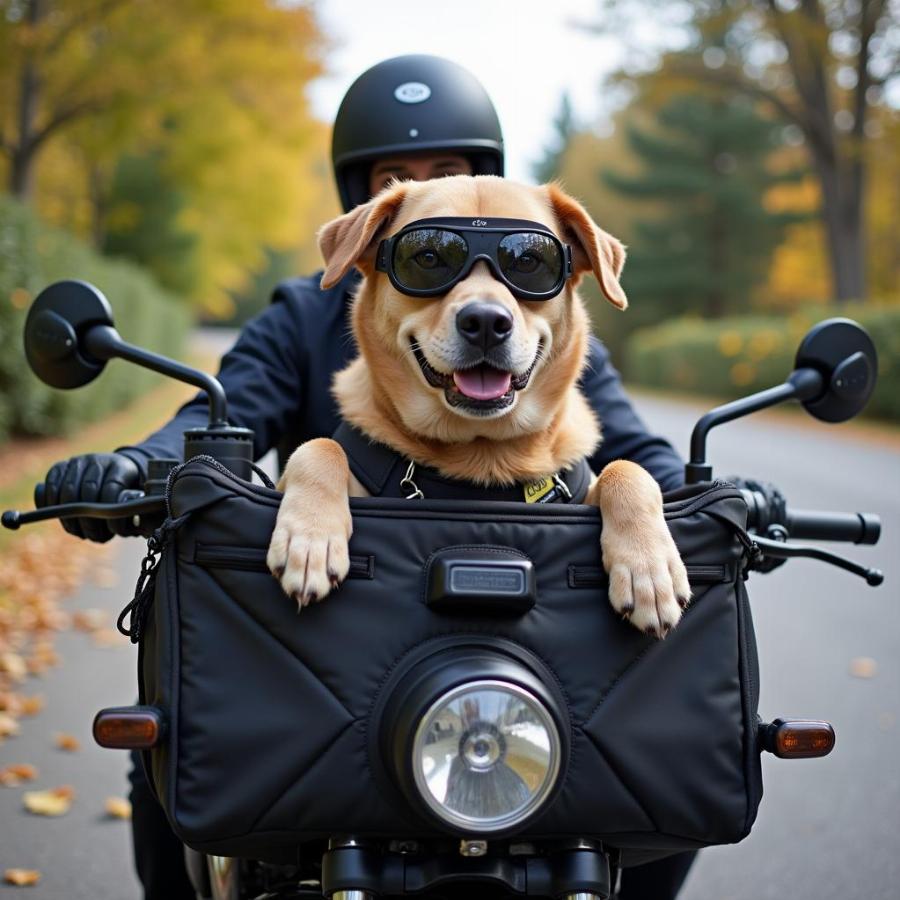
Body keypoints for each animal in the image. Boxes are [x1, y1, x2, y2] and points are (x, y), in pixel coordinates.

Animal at [268, 176, 688, 636]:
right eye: (428, 257)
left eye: (529, 262)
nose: (486, 321)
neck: (482, 453)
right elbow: (319, 448)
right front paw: (310, 538)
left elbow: (627, 470)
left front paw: (650, 569)